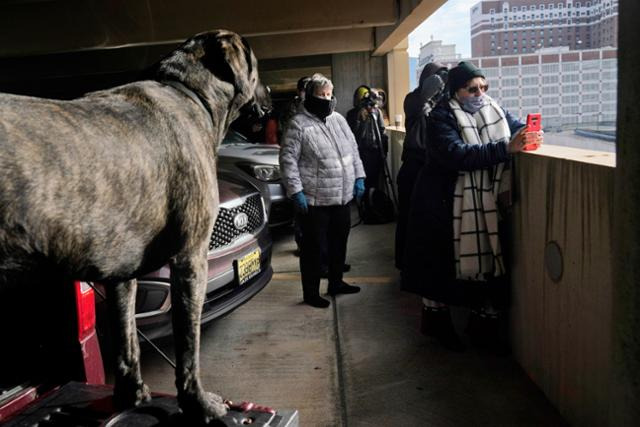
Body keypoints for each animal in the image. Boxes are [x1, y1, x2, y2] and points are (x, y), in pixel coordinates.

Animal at [0, 29, 260, 424]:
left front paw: (131, 395)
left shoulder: (121, 274)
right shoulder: (191, 261)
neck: (188, 92)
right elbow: (188, 347)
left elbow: (127, 340)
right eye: (257, 64)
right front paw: (199, 403)